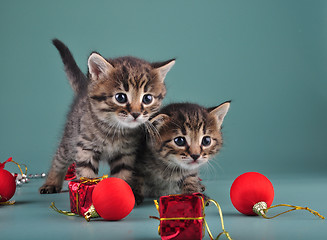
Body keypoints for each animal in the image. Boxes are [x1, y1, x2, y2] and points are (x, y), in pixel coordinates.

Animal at [39, 39, 176, 193]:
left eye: (147, 99)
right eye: (120, 97)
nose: (136, 114)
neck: (115, 130)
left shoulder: (126, 153)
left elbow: (122, 175)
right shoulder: (86, 148)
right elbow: (87, 174)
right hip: (70, 136)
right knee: (59, 157)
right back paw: (51, 182)